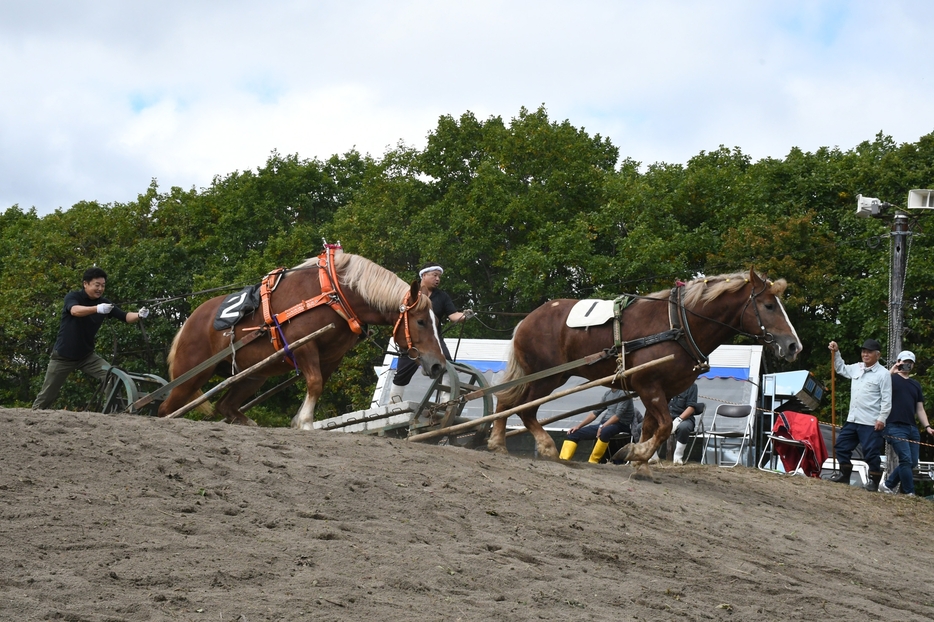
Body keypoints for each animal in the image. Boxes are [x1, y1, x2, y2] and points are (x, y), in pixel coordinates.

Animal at [158, 249, 450, 428]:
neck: (336, 293)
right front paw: (307, 423)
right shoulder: (304, 345)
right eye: (421, 321)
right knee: (166, 409)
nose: (438, 365)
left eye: (437, 322)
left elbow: (316, 385)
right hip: (191, 375)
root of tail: (189, 323)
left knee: (225, 405)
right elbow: (315, 383)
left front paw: (299, 420)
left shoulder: (331, 357)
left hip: (253, 375)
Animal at [490, 270, 804, 476]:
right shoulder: (648, 385)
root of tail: (527, 320)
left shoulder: (662, 390)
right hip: (546, 376)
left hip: (544, 376)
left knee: (506, 402)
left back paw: (497, 443)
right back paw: (542, 447)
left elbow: (653, 428)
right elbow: (663, 427)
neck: (679, 324)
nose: (793, 345)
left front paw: (639, 461)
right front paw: (638, 455)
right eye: (768, 305)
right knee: (523, 408)